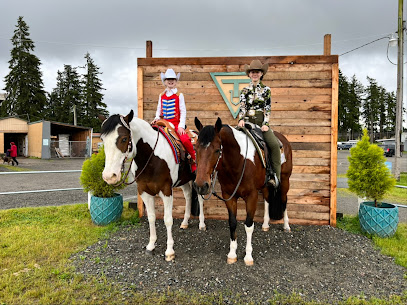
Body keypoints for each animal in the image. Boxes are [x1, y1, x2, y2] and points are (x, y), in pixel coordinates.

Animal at [101, 110, 206, 260]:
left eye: (124, 139)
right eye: (103, 140)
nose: (109, 176)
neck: (152, 157)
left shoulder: (166, 191)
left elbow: (167, 219)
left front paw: (169, 251)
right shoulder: (144, 191)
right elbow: (151, 217)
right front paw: (151, 245)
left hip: (199, 179)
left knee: (201, 199)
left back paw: (202, 224)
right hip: (184, 181)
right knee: (187, 196)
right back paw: (185, 222)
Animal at [194, 117, 294, 264]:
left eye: (217, 150)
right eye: (196, 149)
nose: (201, 185)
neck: (238, 161)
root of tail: (283, 139)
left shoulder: (251, 196)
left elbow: (248, 225)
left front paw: (248, 256)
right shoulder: (229, 196)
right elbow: (232, 223)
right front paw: (232, 254)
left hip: (285, 179)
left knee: (284, 199)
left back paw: (286, 226)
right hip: (265, 185)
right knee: (267, 199)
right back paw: (265, 224)